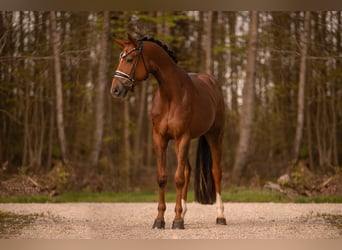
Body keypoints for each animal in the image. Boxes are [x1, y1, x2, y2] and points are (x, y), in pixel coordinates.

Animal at [111, 34, 226, 229]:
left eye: (129, 59)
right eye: (120, 57)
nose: (115, 89)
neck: (171, 95)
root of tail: (213, 84)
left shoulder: (183, 137)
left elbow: (178, 179)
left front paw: (177, 220)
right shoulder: (160, 138)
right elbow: (162, 178)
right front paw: (160, 219)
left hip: (214, 135)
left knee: (215, 172)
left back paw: (220, 216)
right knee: (187, 170)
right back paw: (184, 212)